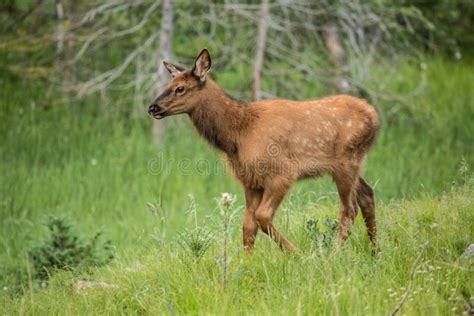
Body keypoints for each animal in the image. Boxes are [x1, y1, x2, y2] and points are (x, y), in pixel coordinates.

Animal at [150, 48, 380, 252]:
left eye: (180, 88)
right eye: (169, 84)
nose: (152, 107)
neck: (237, 135)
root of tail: (374, 116)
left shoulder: (283, 173)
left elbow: (262, 217)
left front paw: (298, 254)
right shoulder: (251, 181)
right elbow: (248, 227)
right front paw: (247, 263)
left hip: (345, 160)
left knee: (349, 208)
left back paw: (335, 255)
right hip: (351, 163)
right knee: (367, 194)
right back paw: (375, 252)